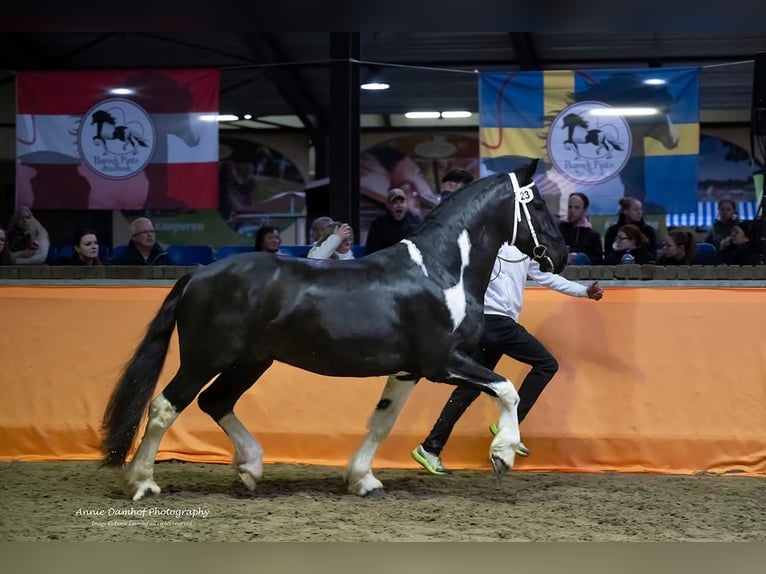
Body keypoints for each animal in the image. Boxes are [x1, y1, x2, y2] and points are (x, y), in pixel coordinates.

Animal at [102, 160, 568, 502]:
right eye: (540, 205)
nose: (561, 255)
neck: (441, 270)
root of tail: (196, 276)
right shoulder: (444, 363)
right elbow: (506, 387)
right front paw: (503, 453)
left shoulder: (409, 370)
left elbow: (382, 422)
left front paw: (362, 480)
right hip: (206, 357)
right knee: (165, 406)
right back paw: (142, 482)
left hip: (251, 360)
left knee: (215, 401)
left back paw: (250, 468)